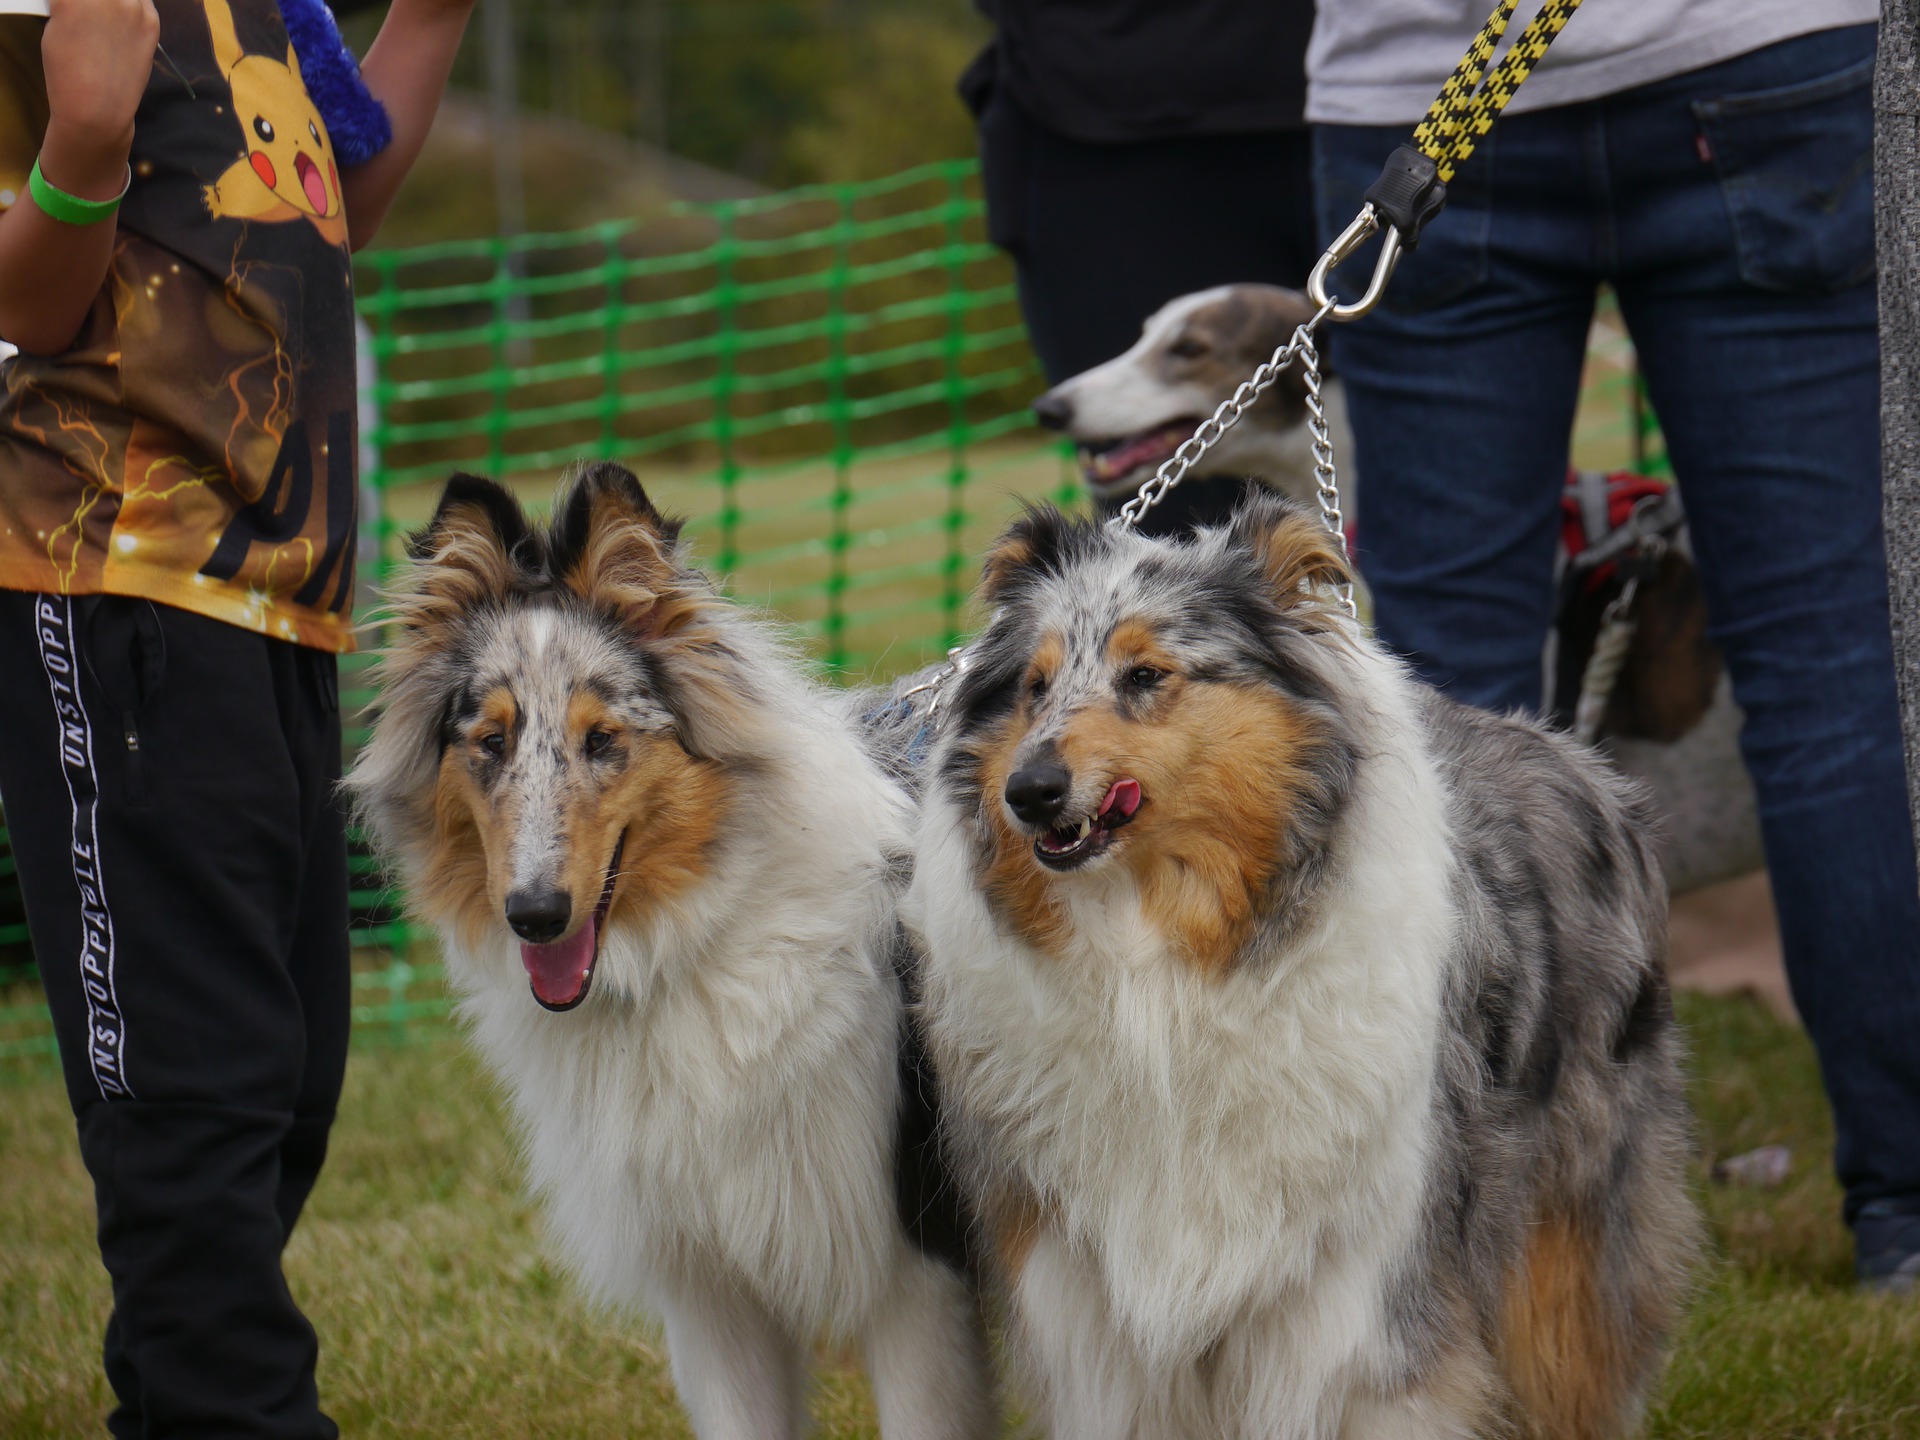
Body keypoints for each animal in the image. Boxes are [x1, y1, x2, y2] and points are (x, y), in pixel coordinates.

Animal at [347, 468, 998, 1436]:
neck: (690, 948)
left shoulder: (913, 1273)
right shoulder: (710, 1293)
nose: (534, 916)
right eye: (491, 743)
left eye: (603, 740)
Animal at [902, 495, 1697, 1436]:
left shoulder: (1356, 1294)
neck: (1157, 969)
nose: (1028, 793)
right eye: (1032, 686)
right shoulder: (1092, 1309)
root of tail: (1571, 752)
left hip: (1564, 1254)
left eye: (1146, 675)